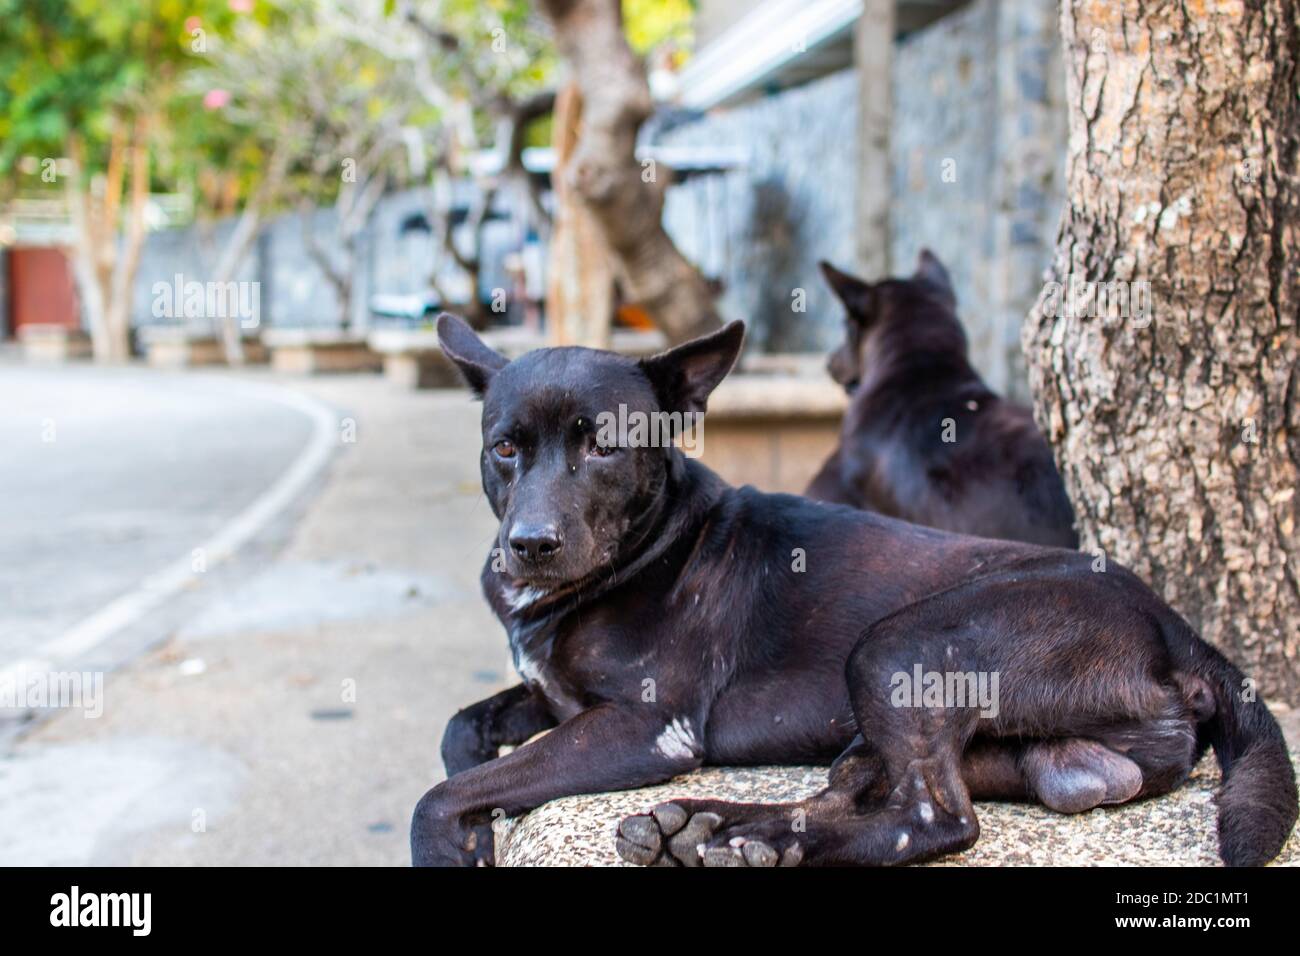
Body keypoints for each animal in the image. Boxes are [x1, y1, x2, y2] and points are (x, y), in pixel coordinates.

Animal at [410, 314, 1294, 868]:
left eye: (604, 448)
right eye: (505, 448)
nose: (529, 547)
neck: (650, 543)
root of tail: (1178, 629)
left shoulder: (641, 727)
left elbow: (440, 795)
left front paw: (458, 842)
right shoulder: (552, 700)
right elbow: (460, 732)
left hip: (898, 646)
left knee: (931, 821)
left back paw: (748, 843)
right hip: (930, 742)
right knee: (856, 795)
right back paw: (715, 830)